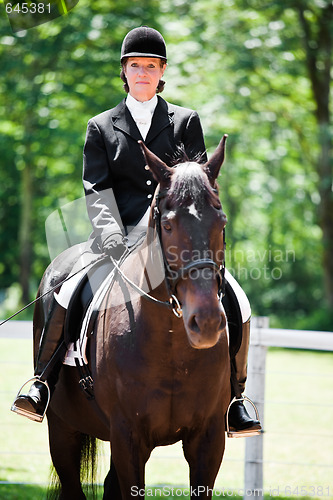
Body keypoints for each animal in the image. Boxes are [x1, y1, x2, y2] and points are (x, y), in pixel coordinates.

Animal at [35, 135, 230, 498]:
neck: (172, 343)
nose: (207, 322)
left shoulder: (208, 440)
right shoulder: (128, 437)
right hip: (62, 429)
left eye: (221, 222)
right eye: (167, 225)